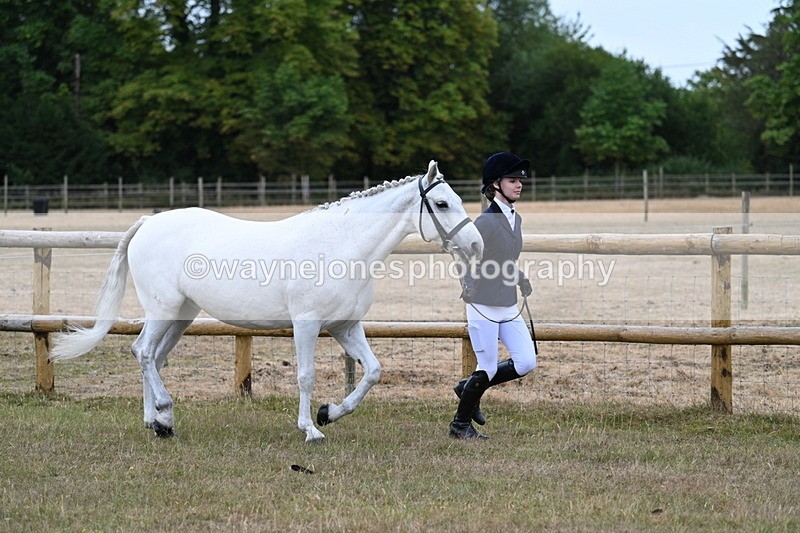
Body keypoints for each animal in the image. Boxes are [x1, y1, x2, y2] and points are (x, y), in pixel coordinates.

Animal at [49, 160, 483, 443]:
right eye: (442, 204)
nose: (476, 244)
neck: (341, 245)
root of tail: (148, 222)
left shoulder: (345, 326)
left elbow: (373, 371)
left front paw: (329, 413)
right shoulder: (307, 324)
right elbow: (306, 376)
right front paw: (310, 429)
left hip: (181, 316)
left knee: (151, 357)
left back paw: (156, 423)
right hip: (163, 310)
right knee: (142, 352)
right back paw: (165, 414)